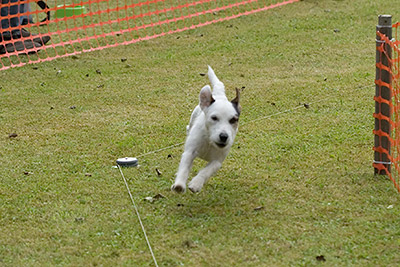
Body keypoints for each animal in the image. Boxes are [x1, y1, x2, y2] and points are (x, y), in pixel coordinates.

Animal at [171, 66, 241, 194]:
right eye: (214, 118)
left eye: (233, 120)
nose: (224, 136)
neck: (209, 140)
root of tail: (219, 95)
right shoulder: (190, 152)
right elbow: (184, 168)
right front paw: (179, 184)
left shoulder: (217, 161)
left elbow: (207, 171)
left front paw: (196, 183)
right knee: (188, 127)